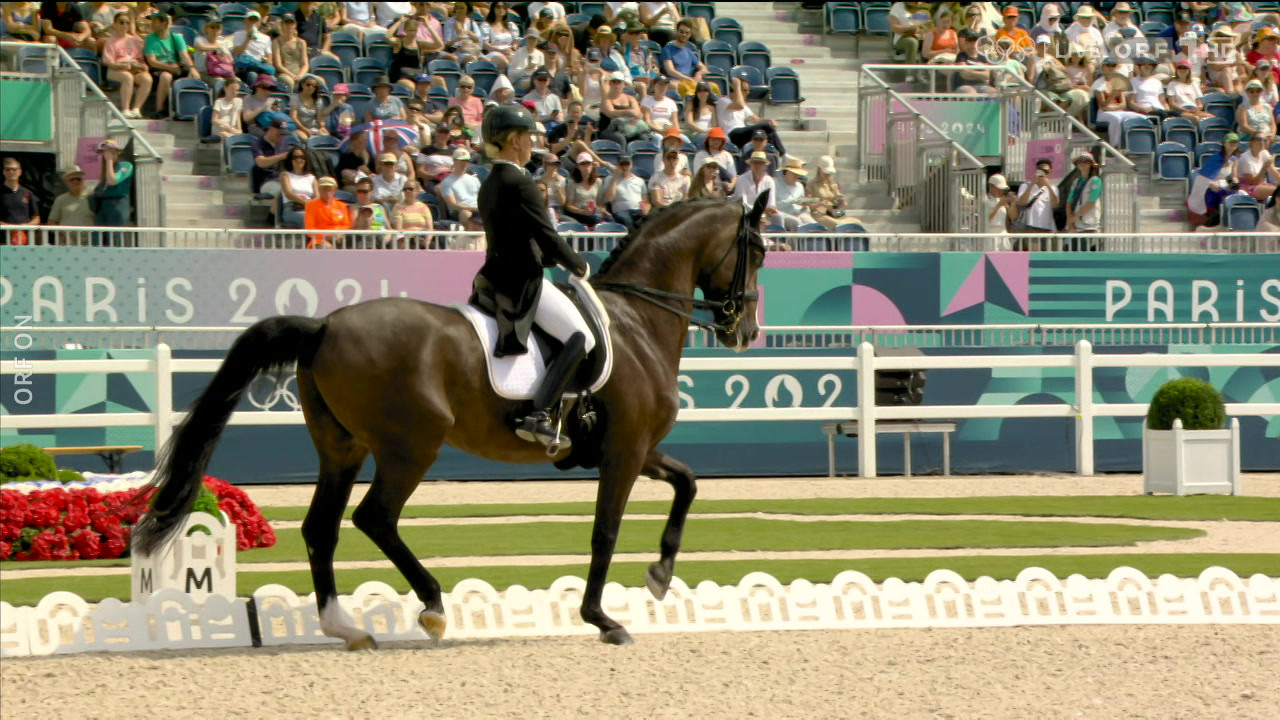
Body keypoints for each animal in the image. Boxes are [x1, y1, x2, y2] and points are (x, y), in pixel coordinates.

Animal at [132, 193, 768, 648]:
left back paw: (346, 626)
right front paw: (603, 619)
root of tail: (325, 325)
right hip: (411, 446)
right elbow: (605, 531)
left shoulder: (633, 447)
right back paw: (434, 607)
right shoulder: (626, 452)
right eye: (759, 251)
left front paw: (660, 574)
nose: (746, 332)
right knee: (375, 518)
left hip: (342, 449)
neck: (638, 321)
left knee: (322, 528)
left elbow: (688, 482)